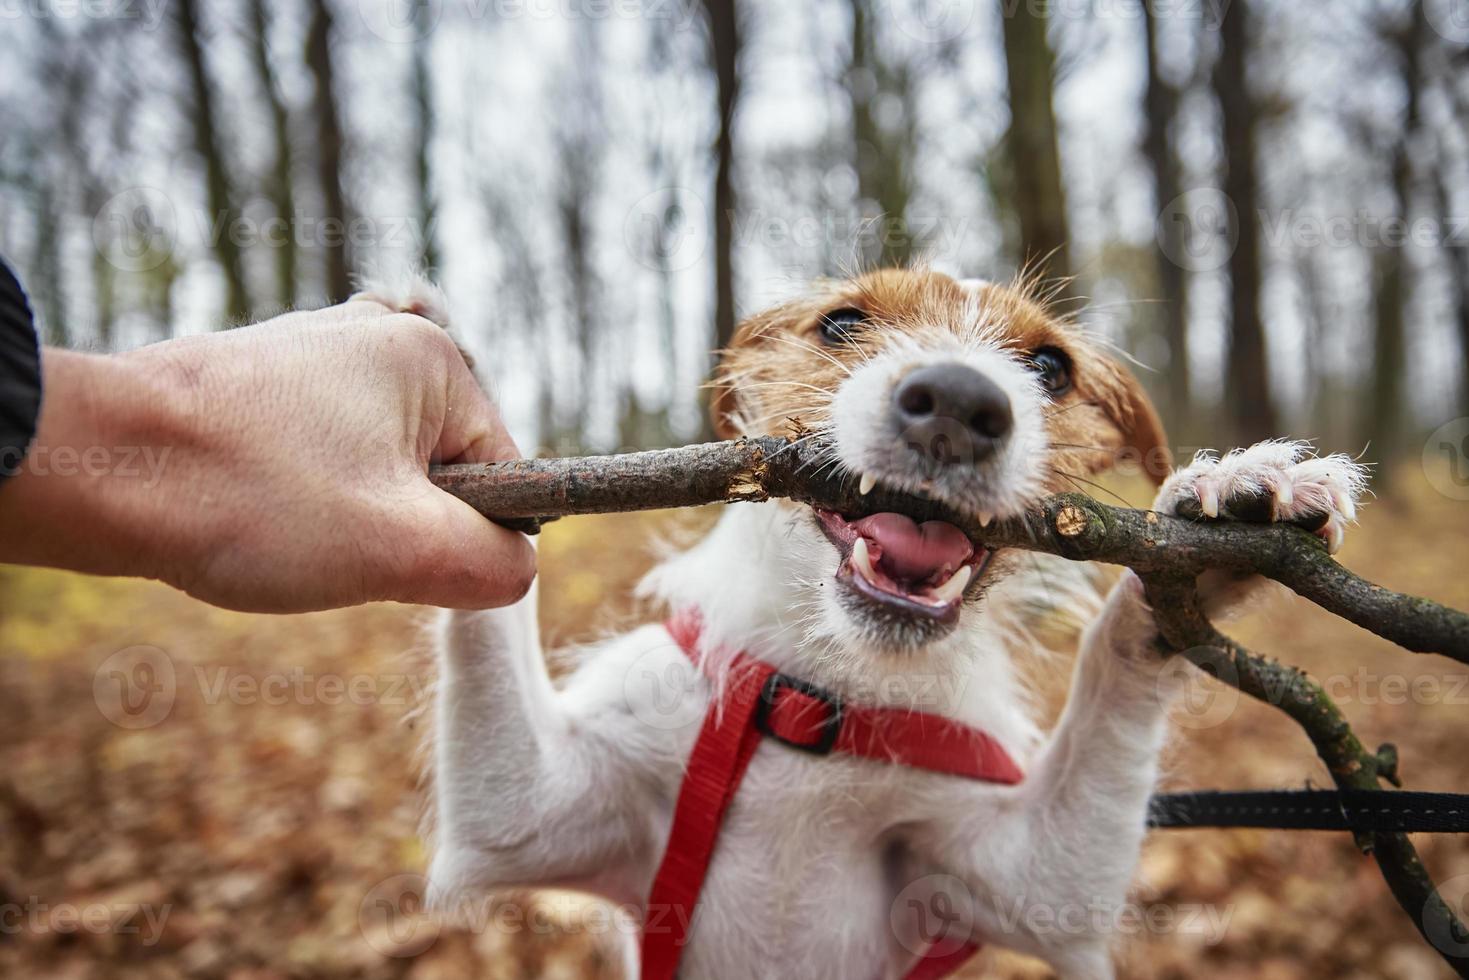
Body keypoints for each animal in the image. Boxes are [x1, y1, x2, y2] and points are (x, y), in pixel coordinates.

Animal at [373, 270, 1369, 980]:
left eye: (1049, 368)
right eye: (842, 324)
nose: (959, 403)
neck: (822, 698)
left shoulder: (1029, 880)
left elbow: (1117, 664)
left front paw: (1214, 525)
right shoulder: (526, 815)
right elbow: (491, 600)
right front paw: (452, 375)